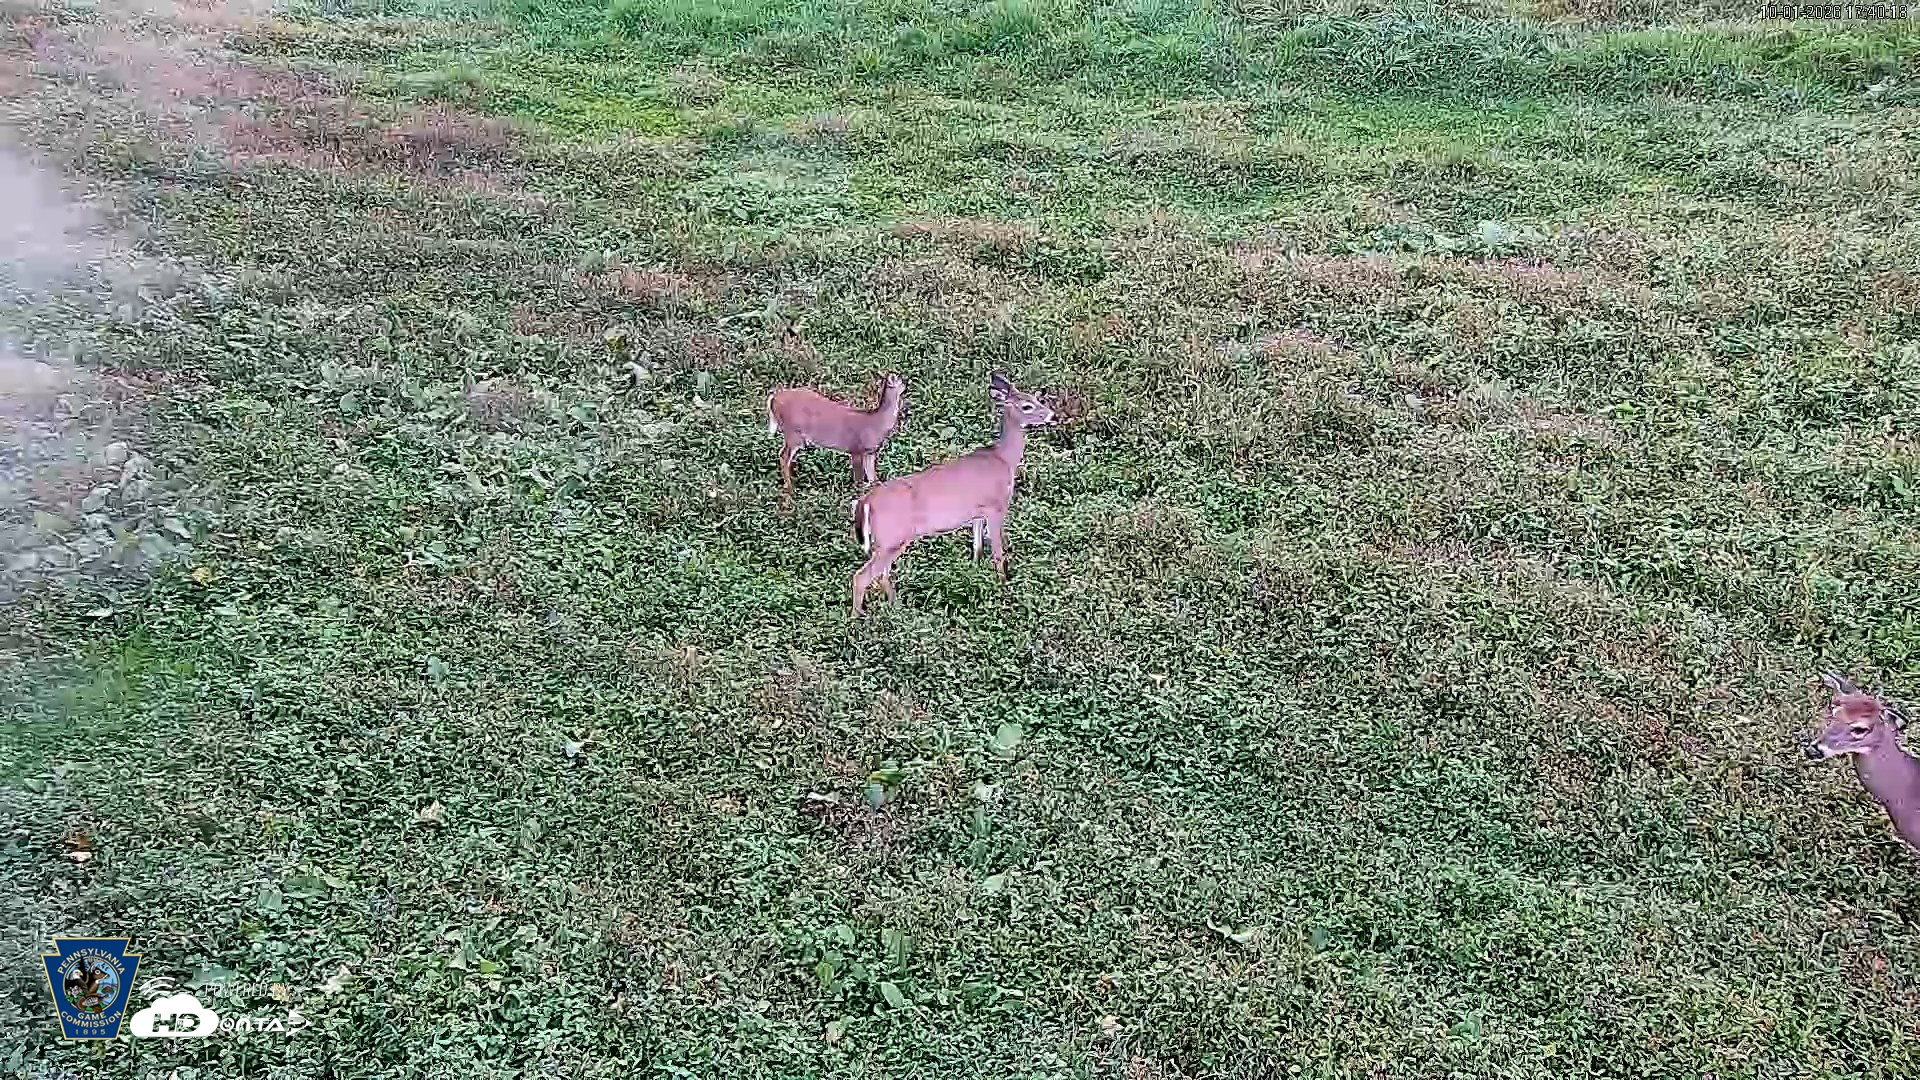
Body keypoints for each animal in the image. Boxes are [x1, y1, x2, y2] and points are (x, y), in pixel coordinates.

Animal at [766, 373, 905, 504]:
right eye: (901, 381)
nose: (906, 383)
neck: (877, 424)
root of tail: (773, 399)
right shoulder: (856, 449)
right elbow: (859, 480)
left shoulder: (870, 452)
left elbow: (873, 479)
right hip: (793, 433)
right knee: (783, 456)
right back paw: (791, 491)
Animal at [849, 372, 1055, 617]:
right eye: (1027, 406)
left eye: (1037, 398)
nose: (1052, 416)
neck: (1004, 459)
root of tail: (865, 501)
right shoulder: (996, 507)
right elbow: (997, 552)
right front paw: (1003, 587)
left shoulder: (977, 513)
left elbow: (977, 547)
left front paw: (974, 574)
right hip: (892, 538)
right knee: (862, 577)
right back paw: (857, 619)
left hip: (887, 541)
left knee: (882, 574)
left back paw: (896, 607)